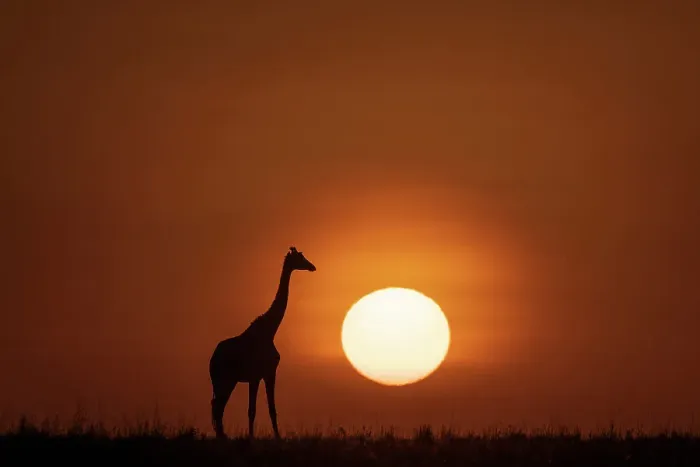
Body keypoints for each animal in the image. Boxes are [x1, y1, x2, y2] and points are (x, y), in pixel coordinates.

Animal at [208, 246, 316, 439]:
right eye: (300, 258)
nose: (312, 267)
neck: (270, 331)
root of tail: (212, 358)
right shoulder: (258, 375)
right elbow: (253, 410)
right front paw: (254, 438)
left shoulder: (266, 374)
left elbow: (270, 409)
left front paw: (276, 437)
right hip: (224, 378)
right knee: (217, 406)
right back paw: (222, 436)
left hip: (227, 380)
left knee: (218, 406)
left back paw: (222, 436)